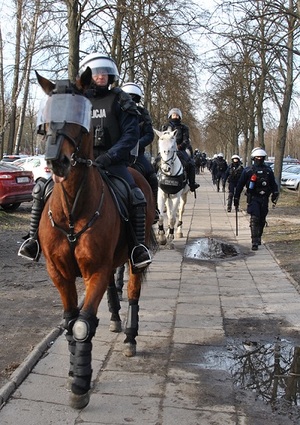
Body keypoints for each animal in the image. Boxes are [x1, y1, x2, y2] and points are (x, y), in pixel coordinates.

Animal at [36, 69, 156, 408]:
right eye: (49, 114)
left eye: (81, 117)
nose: (56, 160)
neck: (72, 209)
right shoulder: (59, 273)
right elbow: (69, 320)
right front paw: (74, 372)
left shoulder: (96, 270)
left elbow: (82, 324)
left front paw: (80, 384)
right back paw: (115, 318)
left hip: (135, 256)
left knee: (132, 291)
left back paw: (129, 335)